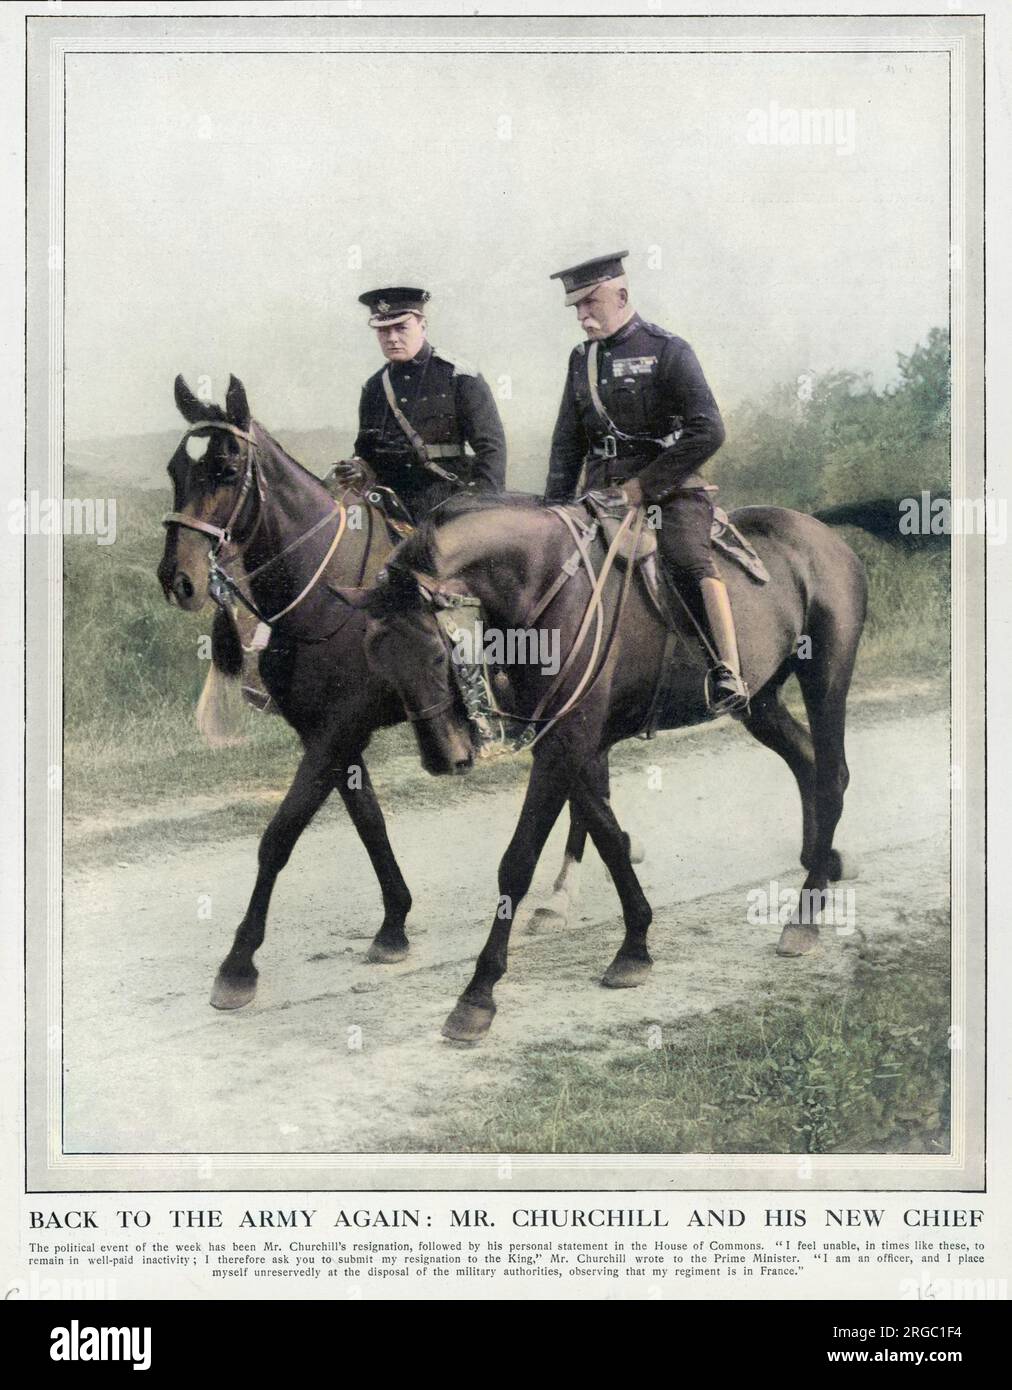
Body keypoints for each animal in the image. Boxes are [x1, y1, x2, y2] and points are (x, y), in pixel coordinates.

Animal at [158, 380, 617, 1011]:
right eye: (176, 468)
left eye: (226, 469)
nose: (176, 580)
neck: (325, 592)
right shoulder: (331, 735)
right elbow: (369, 822)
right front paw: (394, 925)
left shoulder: (335, 734)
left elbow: (278, 836)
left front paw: (238, 965)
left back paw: (563, 894)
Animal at [358, 500, 867, 1045]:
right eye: (377, 658)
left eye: (437, 653)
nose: (443, 758)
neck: (543, 583)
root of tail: (828, 539)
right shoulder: (569, 745)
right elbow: (608, 836)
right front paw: (635, 946)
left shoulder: (566, 742)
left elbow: (518, 861)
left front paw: (477, 994)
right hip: (763, 701)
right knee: (807, 762)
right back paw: (822, 865)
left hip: (825, 678)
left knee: (832, 777)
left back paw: (805, 915)